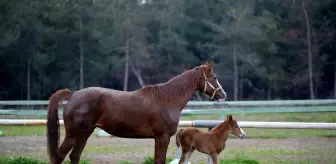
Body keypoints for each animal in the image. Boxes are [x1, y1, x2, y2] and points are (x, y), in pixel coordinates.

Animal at [46, 60, 226, 163]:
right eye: (214, 77)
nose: (223, 95)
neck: (166, 100)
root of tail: (73, 94)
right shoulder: (162, 137)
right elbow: (159, 161)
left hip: (84, 134)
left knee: (74, 156)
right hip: (73, 135)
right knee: (60, 157)